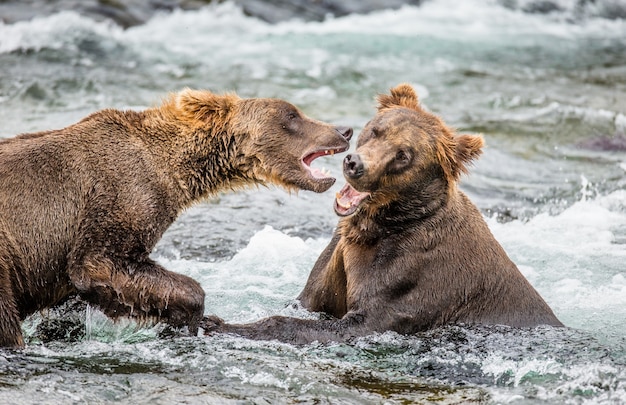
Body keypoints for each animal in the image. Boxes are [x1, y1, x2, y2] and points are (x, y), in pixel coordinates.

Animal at [0, 89, 352, 348]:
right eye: (292, 115)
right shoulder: (117, 198)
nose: (344, 130)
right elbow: (98, 263)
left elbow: (76, 301)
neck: (174, 170)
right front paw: (186, 320)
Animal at [202, 83, 564, 342]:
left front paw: (220, 323)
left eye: (403, 155)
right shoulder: (341, 255)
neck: (376, 226)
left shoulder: (410, 276)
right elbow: (308, 299)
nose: (354, 164)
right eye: (376, 129)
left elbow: (353, 322)